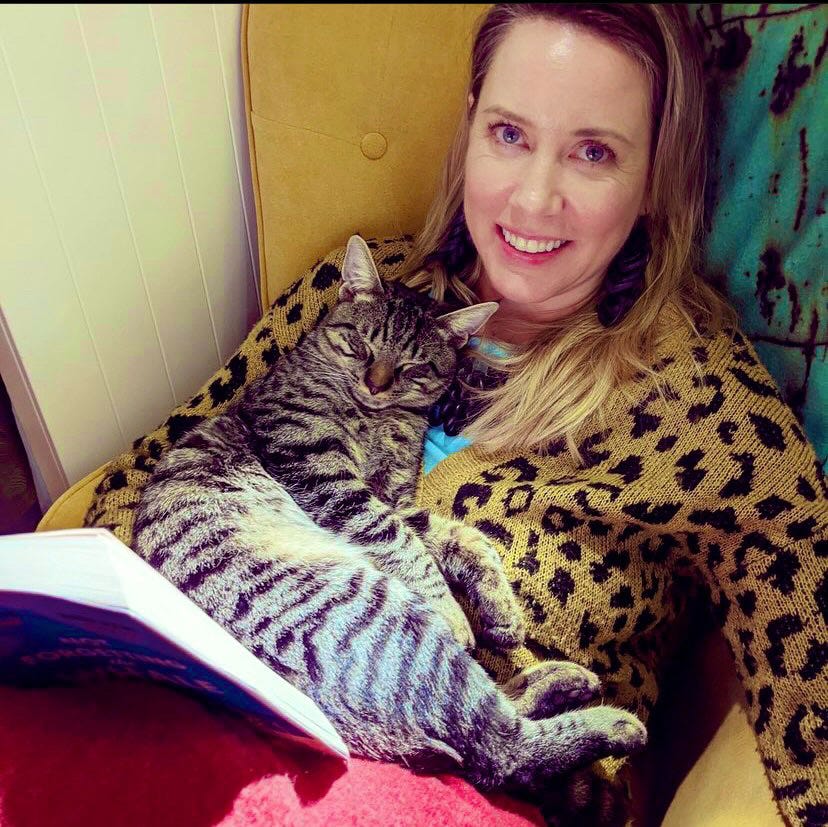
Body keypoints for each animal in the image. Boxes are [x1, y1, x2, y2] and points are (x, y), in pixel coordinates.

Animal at [134, 236, 648, 792]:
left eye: (412, 368)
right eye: (361, 346)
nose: (376, 385)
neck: (379, 417)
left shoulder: (396, 499)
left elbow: (461, 538)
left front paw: (502, 610)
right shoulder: (325, 475)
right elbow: (405, 545)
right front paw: (455, 610)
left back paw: (563, 679)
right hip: (390, 618)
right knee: (499, 750)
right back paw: (609, 719)